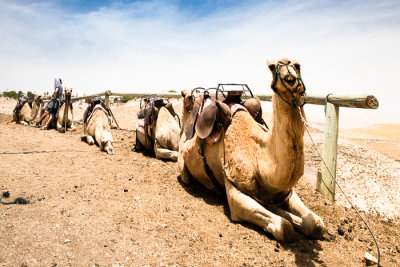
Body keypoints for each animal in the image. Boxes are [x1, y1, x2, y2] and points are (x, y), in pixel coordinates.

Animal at [178, 58, 324, 243]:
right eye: (272, 67)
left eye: (298, 65)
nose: (287, 68)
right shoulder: (236, 194)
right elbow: (285, 227)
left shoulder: (286, 193)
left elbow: (315, 224)